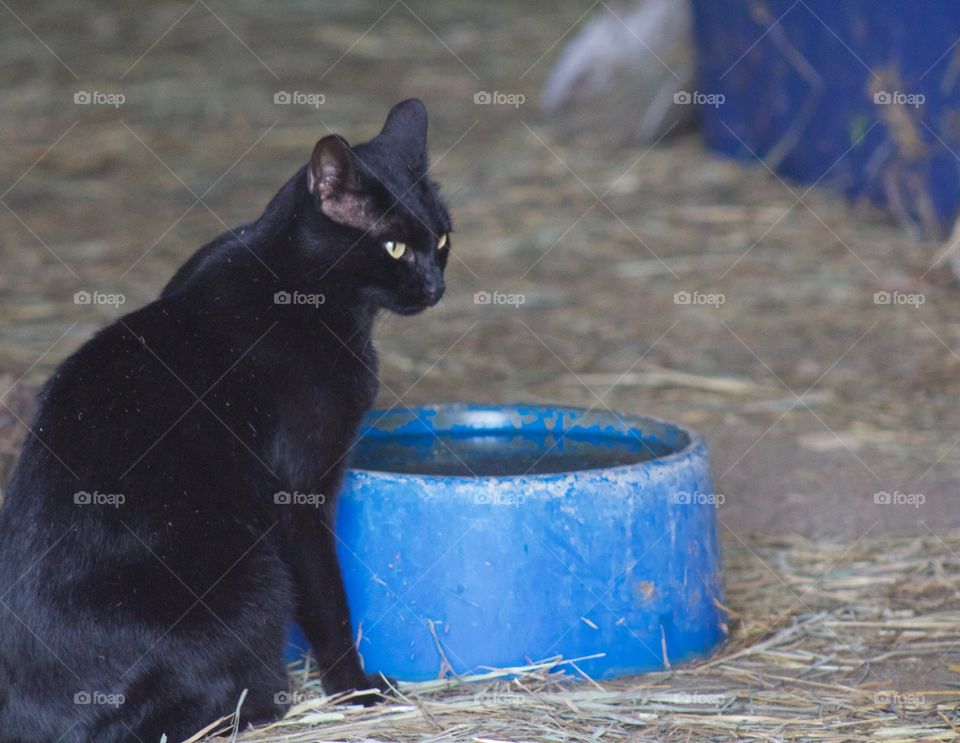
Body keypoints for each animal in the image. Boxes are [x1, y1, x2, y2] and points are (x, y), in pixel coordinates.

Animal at [0, 100, 450, 743]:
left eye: (442, 240)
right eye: (392, 247)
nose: (437, 286)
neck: (299, 283)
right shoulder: (299, 497)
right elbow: (328, 602)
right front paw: (356, 690)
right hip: (253, 582)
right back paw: (263, 703)